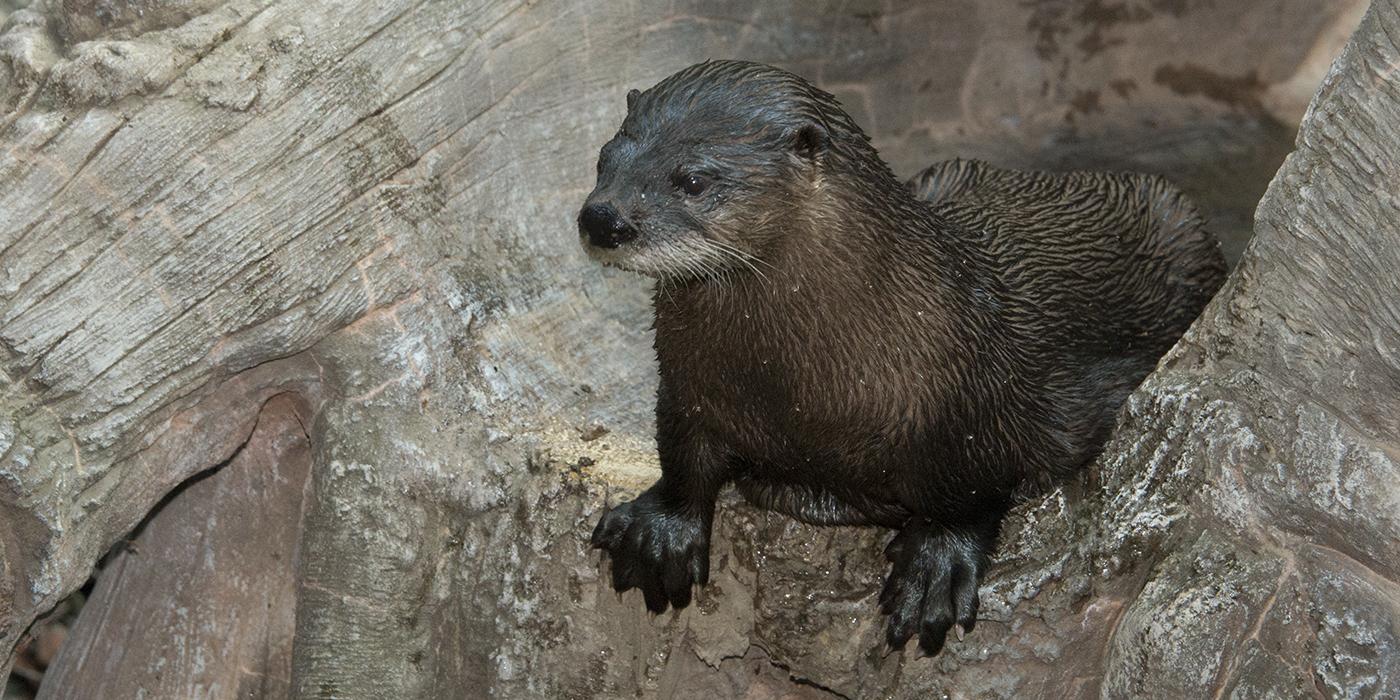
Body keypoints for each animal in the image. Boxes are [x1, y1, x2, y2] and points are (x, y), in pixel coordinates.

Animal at [579, 60, 1226, 655]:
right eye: (604, 159)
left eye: (692, 179)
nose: (602, 218)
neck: (790, 392)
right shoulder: (686, 385)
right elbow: (683, 455)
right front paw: (661, 531)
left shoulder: (965, 403)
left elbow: (970, 491)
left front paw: (935, 568)